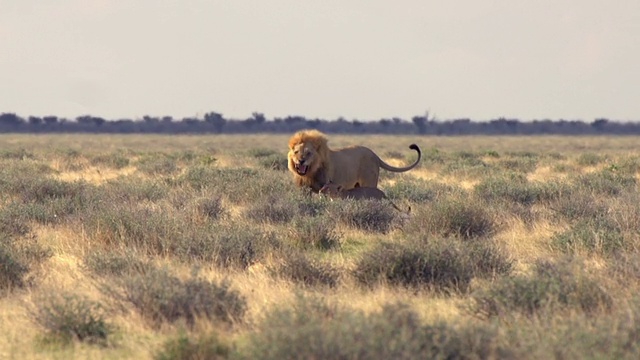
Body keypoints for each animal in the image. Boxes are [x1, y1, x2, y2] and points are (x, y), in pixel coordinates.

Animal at [288, 128, 420, 193]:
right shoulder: (304, 189)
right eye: (296, 152)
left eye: (308, 153)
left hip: (368, 182)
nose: (301, 161)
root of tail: (374, 154)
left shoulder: (326, 185)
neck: (310, 173)